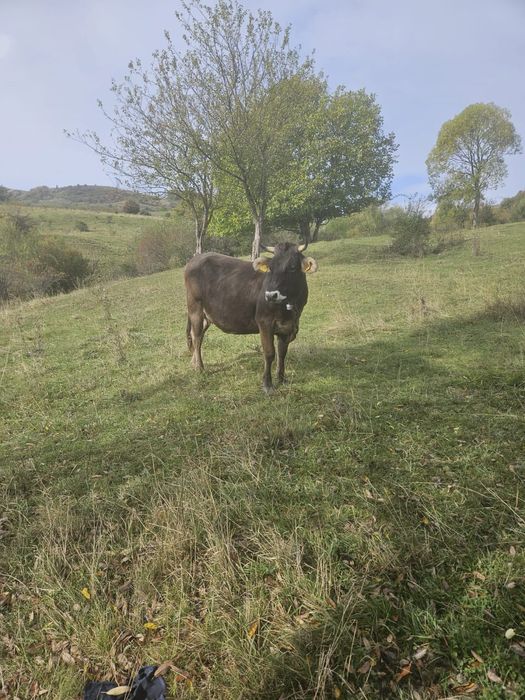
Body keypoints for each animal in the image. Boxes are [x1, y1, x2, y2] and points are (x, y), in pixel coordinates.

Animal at [184, 242, 318, 393]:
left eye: (293, 267)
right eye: (270, 268)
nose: (271, 295)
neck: (289, 310)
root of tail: (196, 258)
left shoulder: (287, 327)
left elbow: (282, 353)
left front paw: (282, 379)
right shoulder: (265, 322)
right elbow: (269, 353)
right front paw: (267, 384)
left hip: (207, 315)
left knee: (197, 336)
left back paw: (194, 363)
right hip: (195, 308)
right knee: (197, 337)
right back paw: (200, 368)